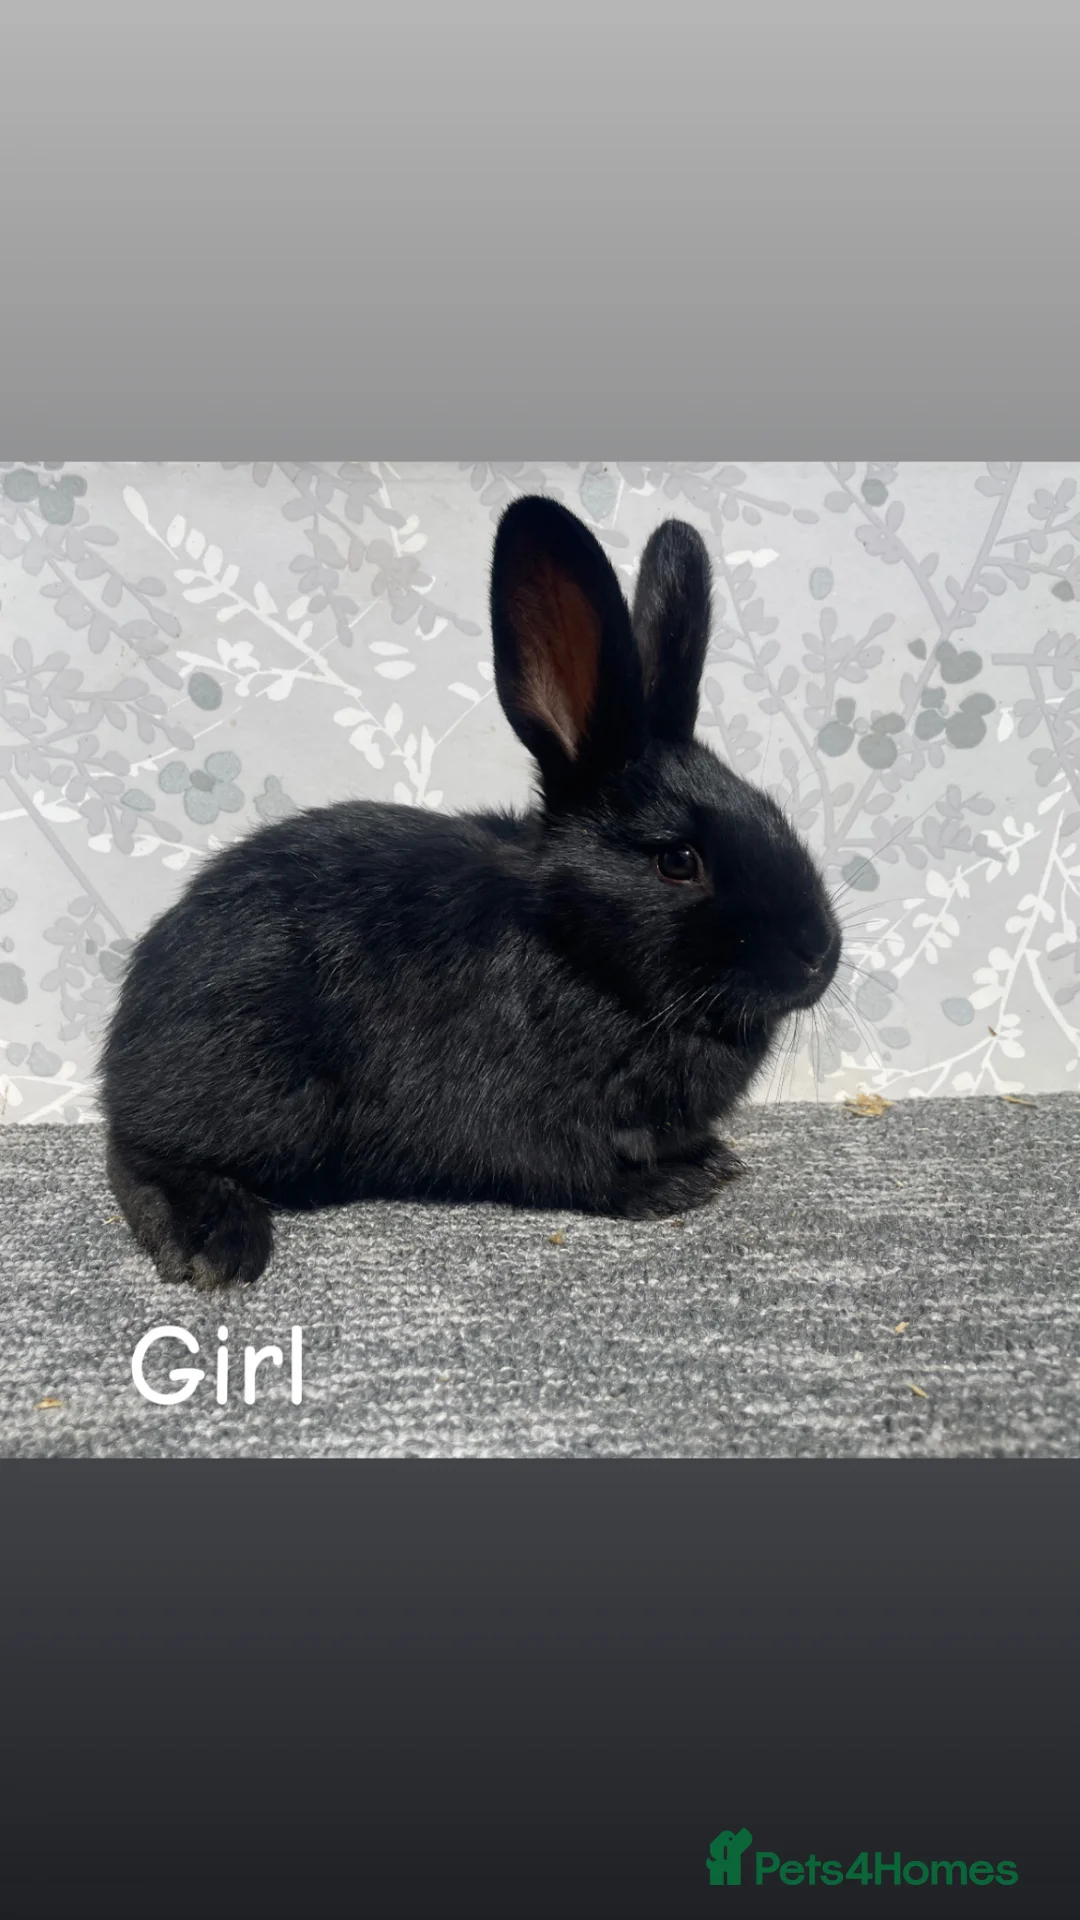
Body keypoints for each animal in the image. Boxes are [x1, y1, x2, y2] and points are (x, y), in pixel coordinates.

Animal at [100, 493, 842, 1289]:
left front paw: (710, 1159)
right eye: (678, 860)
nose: (819, 957)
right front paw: (675, 1184)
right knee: (139, 1154)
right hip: (254, 1095)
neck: (578, 954)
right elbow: (578, 1171)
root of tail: (127, 1036)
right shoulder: (527, 1119)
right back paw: (214, 1242)